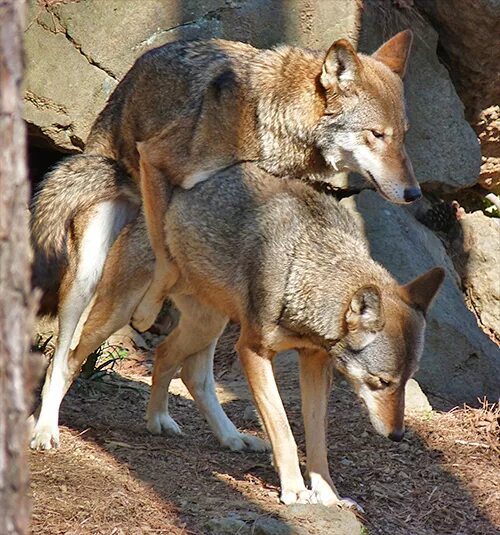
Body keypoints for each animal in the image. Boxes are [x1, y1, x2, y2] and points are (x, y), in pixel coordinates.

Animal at [29, 157, 442, 508]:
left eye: (406, 380)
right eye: (381, 382)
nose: (398, 435)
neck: (301, 267)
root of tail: (141, 184)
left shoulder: (315, 364)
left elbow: (317, 439)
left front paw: (327, 494)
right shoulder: (252, 350)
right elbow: (283, 428)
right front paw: (295, 491)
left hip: (208, 324)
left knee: (176, 363)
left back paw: (188, 427)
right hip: (110, 309)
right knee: (66, 361)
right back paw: (45, 429)